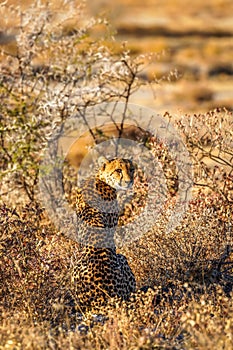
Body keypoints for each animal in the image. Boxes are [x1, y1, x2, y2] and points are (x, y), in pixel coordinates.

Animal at [72, 157, 136, 310]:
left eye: (131, 169)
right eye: (118, 170)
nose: (129, 181)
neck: (100, 178)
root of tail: (102, 300)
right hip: (122, 259)